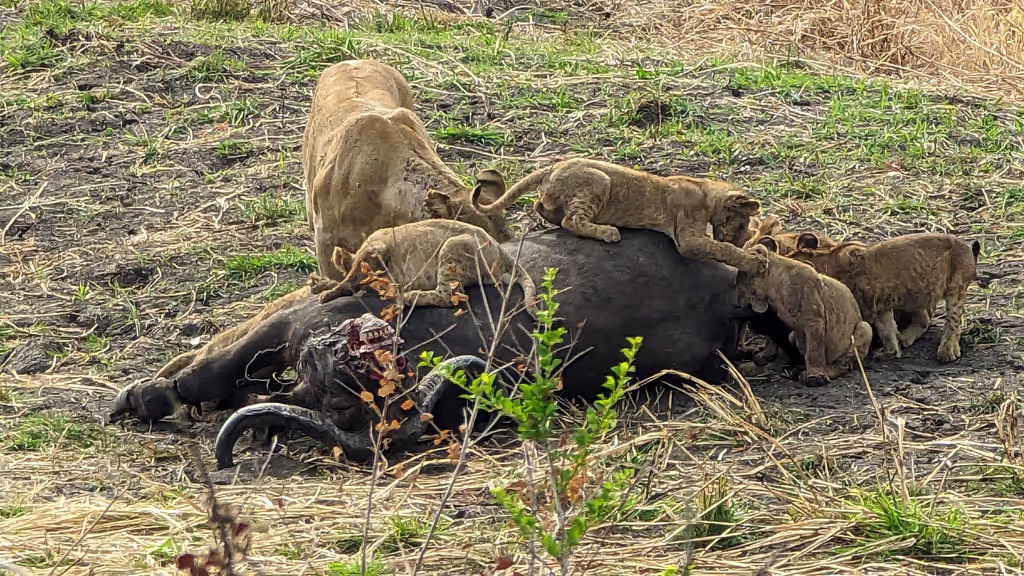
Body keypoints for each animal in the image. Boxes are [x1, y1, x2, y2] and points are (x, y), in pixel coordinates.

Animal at [313, 220, 538, 320]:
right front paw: (322, 285)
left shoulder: (376, 249)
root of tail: (500, 249)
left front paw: (327, 292)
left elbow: (351, 277)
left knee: (449, 297)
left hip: (451, 248)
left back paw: (408, 296)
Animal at [471, 158, 766, 272]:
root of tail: (551, 167)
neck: (706, 191)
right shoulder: (688, 239)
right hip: (600, 180)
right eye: (741, 224)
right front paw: (753, 260)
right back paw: (608, 231)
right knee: (571, 220)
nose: (740, 240)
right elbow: (721, 249)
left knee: (542, 207)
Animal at [737, 238, 873, 386]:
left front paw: (815, 376)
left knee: (843, 363)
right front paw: (763, 357)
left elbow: (813, 350)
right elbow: (774, 341)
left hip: (865, 328)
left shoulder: (814, 320)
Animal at [787, 232, 981, 362]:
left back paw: (947, 350)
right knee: (924, 319)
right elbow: (886, 329)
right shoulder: (879, 305)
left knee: (953, 321)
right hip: (916, 295)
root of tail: (969, 249)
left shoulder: (866, 306)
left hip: (955, 288)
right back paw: (905, 337)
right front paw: (891, 351)